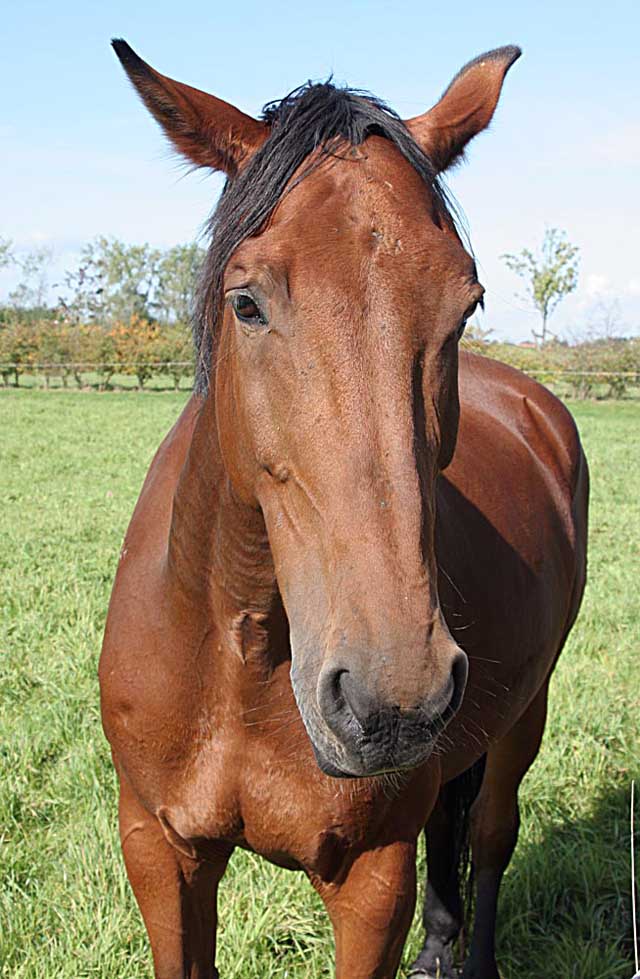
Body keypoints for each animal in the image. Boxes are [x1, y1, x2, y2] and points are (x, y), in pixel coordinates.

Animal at [101, 40, 592, 979]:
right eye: (247, 301)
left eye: (466, 303)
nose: (391, 698)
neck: (240, 658)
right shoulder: (159, 850)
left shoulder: (371, 880)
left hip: (529, 710)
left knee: (489, 832)